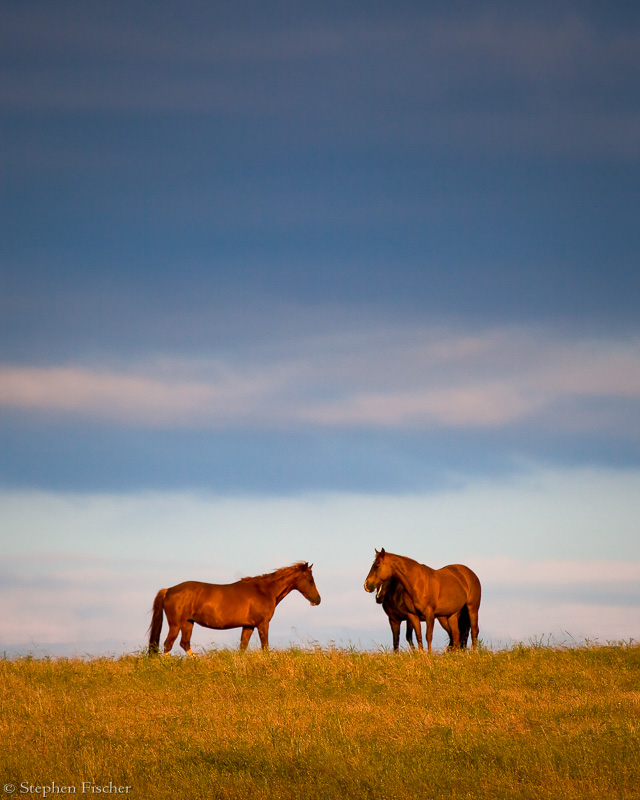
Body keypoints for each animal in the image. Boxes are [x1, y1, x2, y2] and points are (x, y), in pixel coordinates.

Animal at [149, 564, 320, 656]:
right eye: (310, 580)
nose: (318, 600)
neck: (264, 590)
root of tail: (169, 590)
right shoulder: (262, 624)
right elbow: (265, 647)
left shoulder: (248, 626)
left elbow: (242, 648)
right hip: (175, 625)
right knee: (168, 644)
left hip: (188, 623)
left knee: (184, 644)